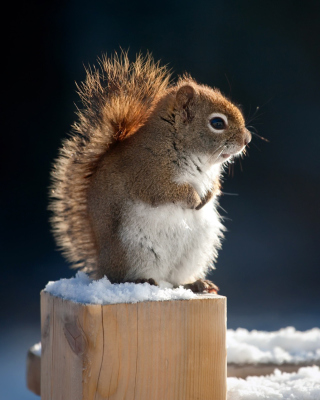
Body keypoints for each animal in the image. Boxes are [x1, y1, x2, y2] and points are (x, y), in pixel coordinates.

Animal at [50, 51, 251, 292]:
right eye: (217, 123)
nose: (247, 139)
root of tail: (101, 267)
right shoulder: (146, 173)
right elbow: (164, 191)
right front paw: (193, 199)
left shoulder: (210, 176)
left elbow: (214, 187)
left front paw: (207, 197)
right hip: (131, 251)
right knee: (122, 278)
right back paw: (143, 281)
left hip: (195, 252)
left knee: (176, 281)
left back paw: (197, 284)